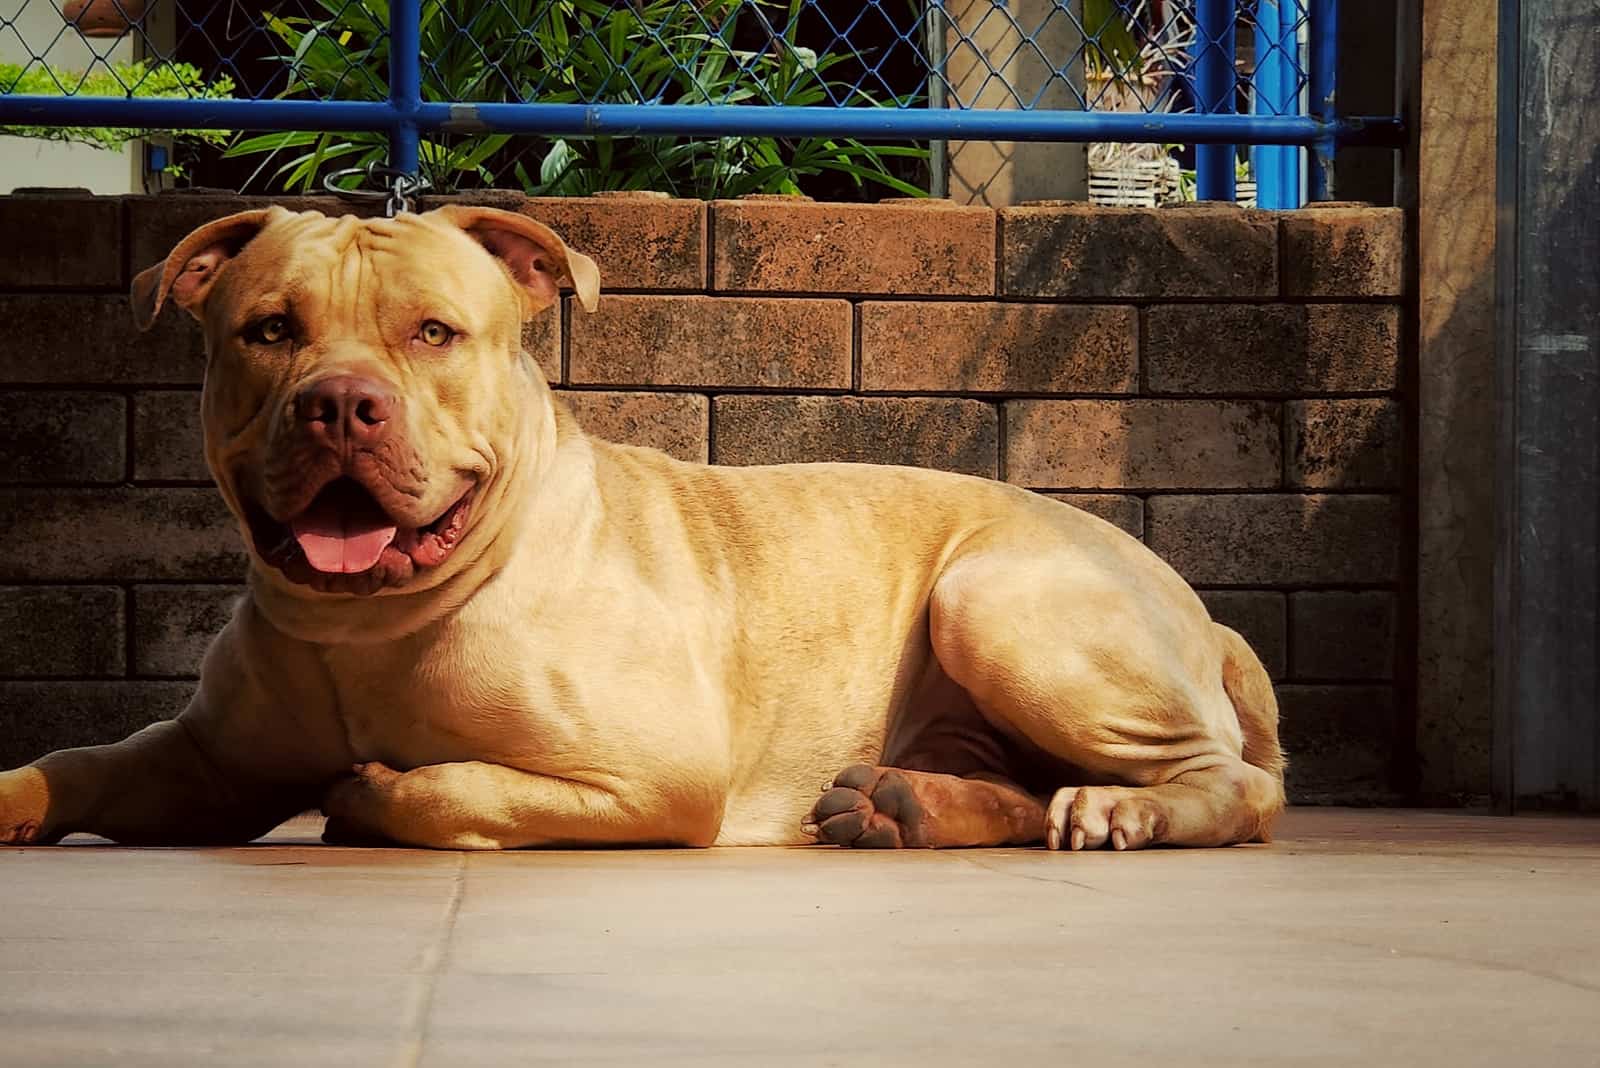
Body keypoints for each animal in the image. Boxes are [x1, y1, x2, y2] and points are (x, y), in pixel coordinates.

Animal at [0, 206, 1280, 850]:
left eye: (433, 333)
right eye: (268, 330)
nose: (339, 402)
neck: (370, 627)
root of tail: (1203, 613)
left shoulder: (654, 776)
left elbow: (440, 791)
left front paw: (363, 799)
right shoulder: (206, 759)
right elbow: (76, 765)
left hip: (995, 603)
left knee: (1235, 784)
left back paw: (1123, 807)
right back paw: (905, 805)